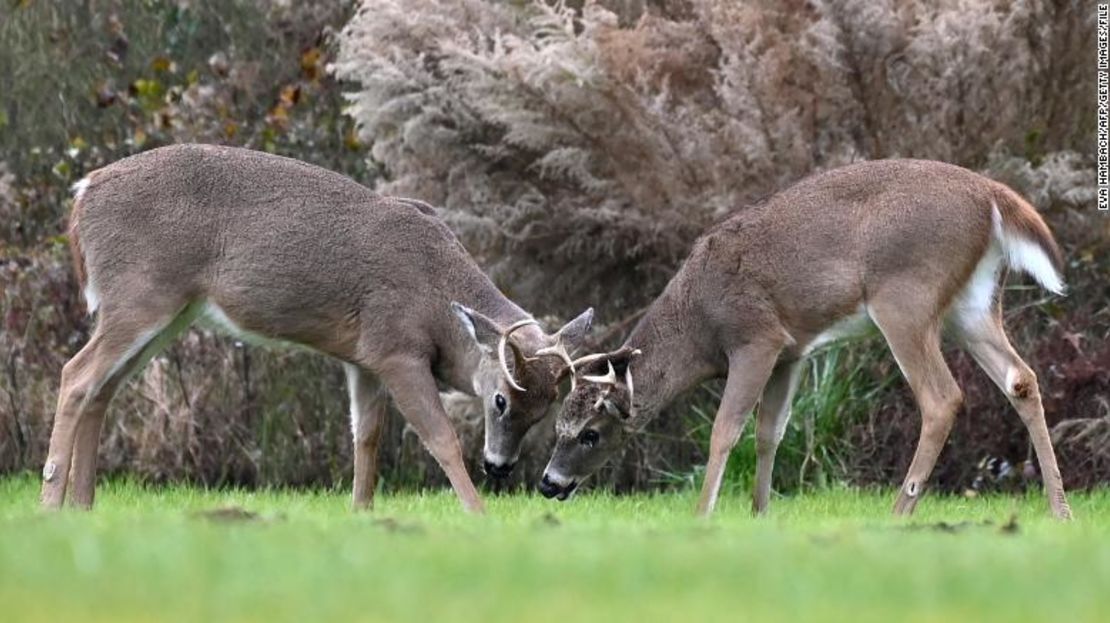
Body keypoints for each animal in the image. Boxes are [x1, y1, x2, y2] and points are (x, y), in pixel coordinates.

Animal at [43, 143, 594, 513]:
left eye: (545, 409)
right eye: (500, 399)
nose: (500, 466)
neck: (437, 297)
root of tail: (83, 193)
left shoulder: (364, 359)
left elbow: (365, 438)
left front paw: (361, 514)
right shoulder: (396, 347)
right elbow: (440, 437)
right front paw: (478, 515)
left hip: (166, 311)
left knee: (103, 388)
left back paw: (83, 506)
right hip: (140, 294)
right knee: (76, 375)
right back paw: (51, 504)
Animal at [537, 156, 1074, 519]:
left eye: (590, 433)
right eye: (557, 426)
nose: (548, 483)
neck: (698, 322)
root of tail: (993, 196)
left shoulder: (756, 337)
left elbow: (725, 429)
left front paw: (703, 515)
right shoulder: (792, 351)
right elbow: (769, 431)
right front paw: (760, 513)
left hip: (904, 296)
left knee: (942, 398)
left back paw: (899, 512)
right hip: (972, 304)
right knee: (1020, 378)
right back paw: (1059, 508)